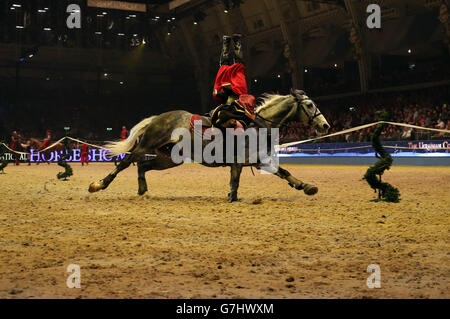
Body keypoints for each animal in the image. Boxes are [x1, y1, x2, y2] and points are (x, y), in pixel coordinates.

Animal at [89, 90, 330, 202]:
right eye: (310, 105)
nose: (325, 125)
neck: (256, 125)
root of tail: (158, 118)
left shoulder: (258, 161)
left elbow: (284, 172)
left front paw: (307, 186)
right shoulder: (238, 163)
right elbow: (235, 182)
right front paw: (232, 198)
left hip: (169, 158)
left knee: (142, 167)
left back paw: (142, 191)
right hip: (146, 146)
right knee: (125, 163)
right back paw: (98, 184)